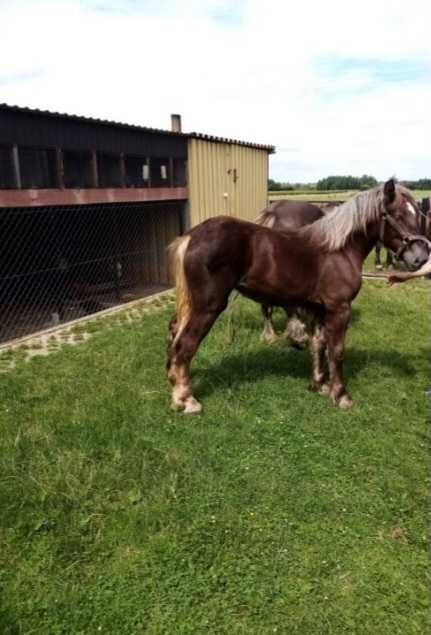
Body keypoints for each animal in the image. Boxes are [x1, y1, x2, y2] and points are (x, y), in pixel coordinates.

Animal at [167, 181, 430, 414]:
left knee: (173, 333)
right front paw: (341, 395)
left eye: (417, 214)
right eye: (396, 214)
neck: (339, 250)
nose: (421, 258)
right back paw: (186, 400)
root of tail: (191, 237)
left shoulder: (319, 308)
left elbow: (319, 343)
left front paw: (319, 384)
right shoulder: (339, 308)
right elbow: (337, 350)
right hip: (208, 307)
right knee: (185, 345)